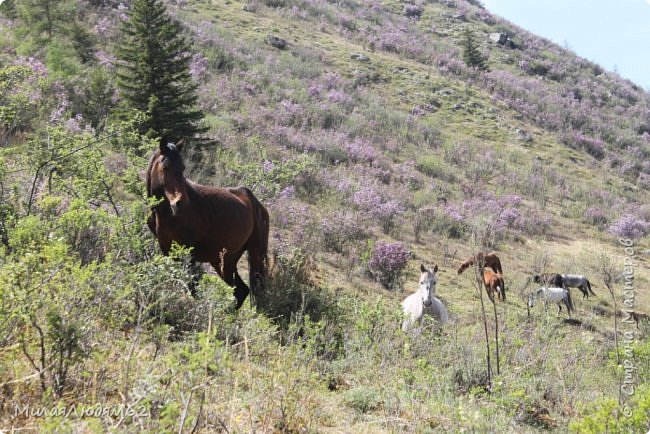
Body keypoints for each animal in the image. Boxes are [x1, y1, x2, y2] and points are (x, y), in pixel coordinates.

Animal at [146, 138, 268, 308]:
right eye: (165, 166)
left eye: (183, 168)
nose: (181, 203)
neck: (164, 214)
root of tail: (255, 202)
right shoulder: (166, 249)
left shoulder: (188, 252)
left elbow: (192, 286)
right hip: (224, 260)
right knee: (241, 291)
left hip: (254, 256)